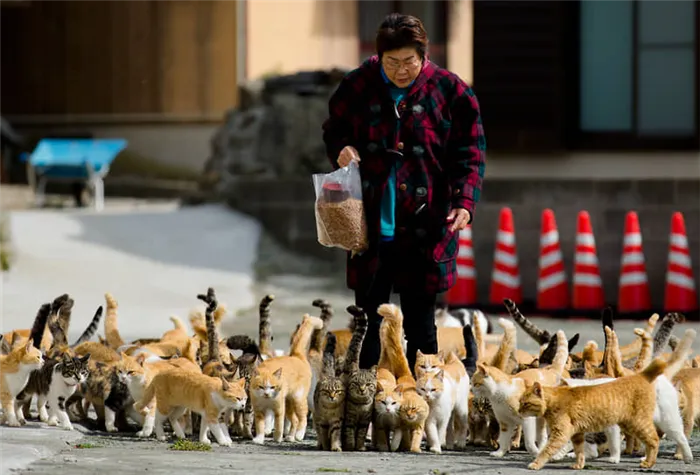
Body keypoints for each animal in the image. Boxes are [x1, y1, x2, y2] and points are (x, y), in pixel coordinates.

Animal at [340, 306, 378, 452]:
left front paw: (360, 447)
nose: (362, 389)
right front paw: (350, 446)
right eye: (356, 384)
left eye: (368, 384)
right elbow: (349, 433)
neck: (361, 406)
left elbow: (361, 434)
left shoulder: (364, 421)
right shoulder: (348, 420)